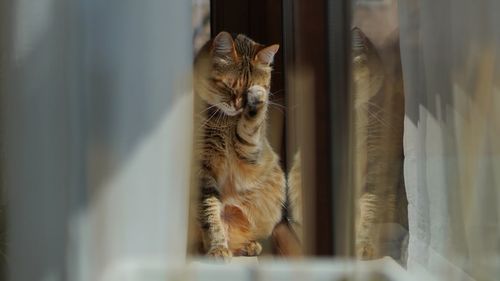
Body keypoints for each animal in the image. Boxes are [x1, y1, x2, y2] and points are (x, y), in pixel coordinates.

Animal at [192, 31, 286, 260]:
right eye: (228, 85)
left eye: (250, 88)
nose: (240, 106)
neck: (224, 122)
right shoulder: (201, 170)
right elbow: (210, 215)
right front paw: (217, 247)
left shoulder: (250, 153)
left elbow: (249, 129)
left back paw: (250, 246)